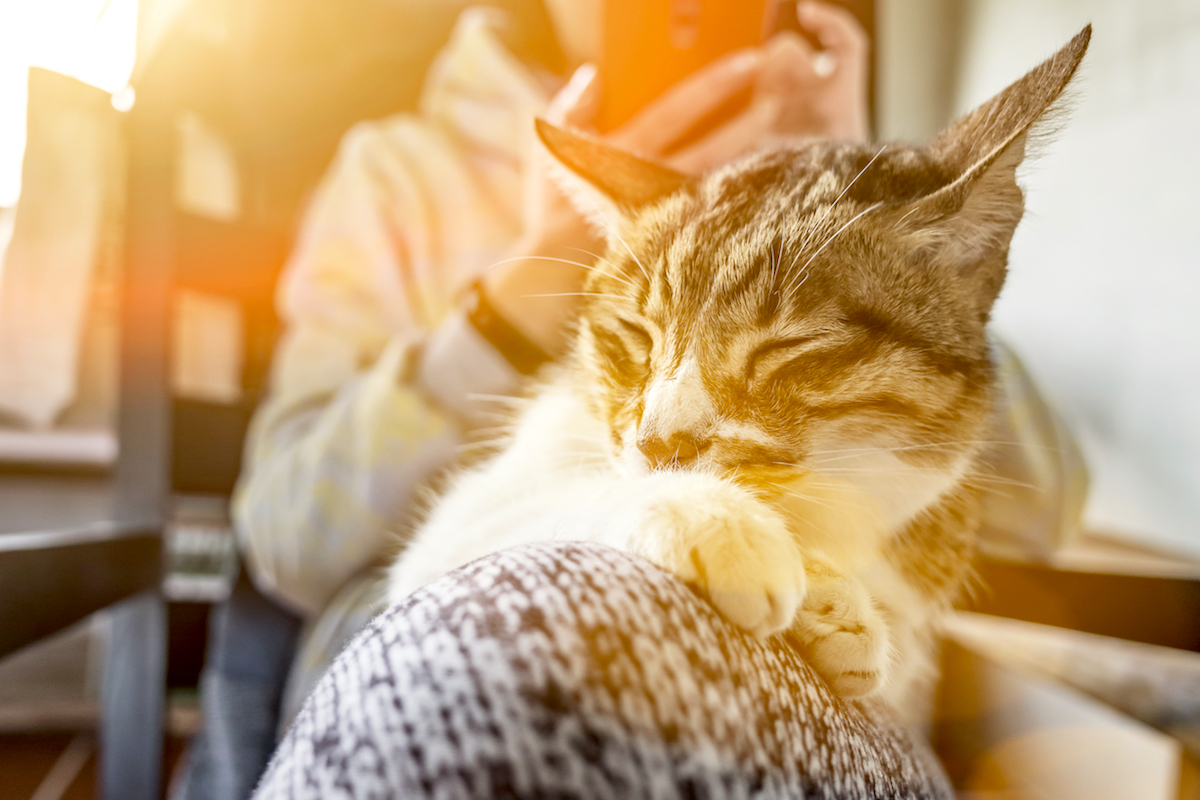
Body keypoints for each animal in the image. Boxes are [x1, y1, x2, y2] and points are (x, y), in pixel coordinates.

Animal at [388, 25, 1094, 714]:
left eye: (785, 347)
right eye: (638, 335)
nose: (661, 444)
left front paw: (841, 610)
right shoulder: (475, 513)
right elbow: (511, 511)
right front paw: (719, 524)